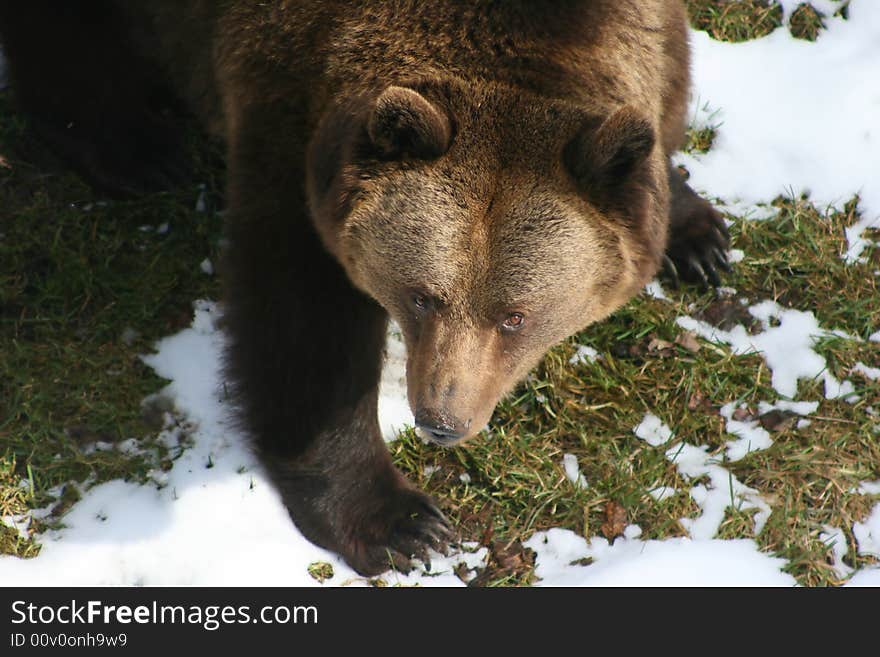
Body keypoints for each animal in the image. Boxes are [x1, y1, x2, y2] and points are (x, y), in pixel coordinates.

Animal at [0, 0, 728, 576]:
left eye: (514, 316)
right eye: (422, 295)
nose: (441, 420)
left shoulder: (656, 48)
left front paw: (697, 237)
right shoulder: (295, 122)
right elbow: (305, 326)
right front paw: (402, 522)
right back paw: (134, 147)